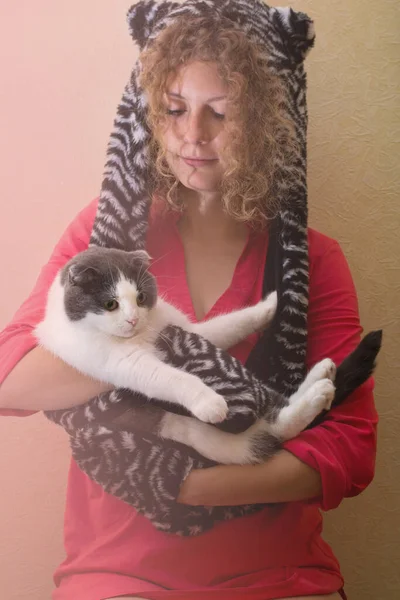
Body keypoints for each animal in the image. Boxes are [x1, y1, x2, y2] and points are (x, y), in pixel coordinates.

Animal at [36, 246, 380, 466]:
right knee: (272, 431)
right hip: (200, 436)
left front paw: (269, 305)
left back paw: (322, 375)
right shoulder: (117, 361)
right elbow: (168, 376)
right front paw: (211, 401)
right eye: (110, 304)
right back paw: (318, 392)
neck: (144, 333)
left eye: (141, 297)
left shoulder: (183, 326)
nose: (133, 319)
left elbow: (227, 326)